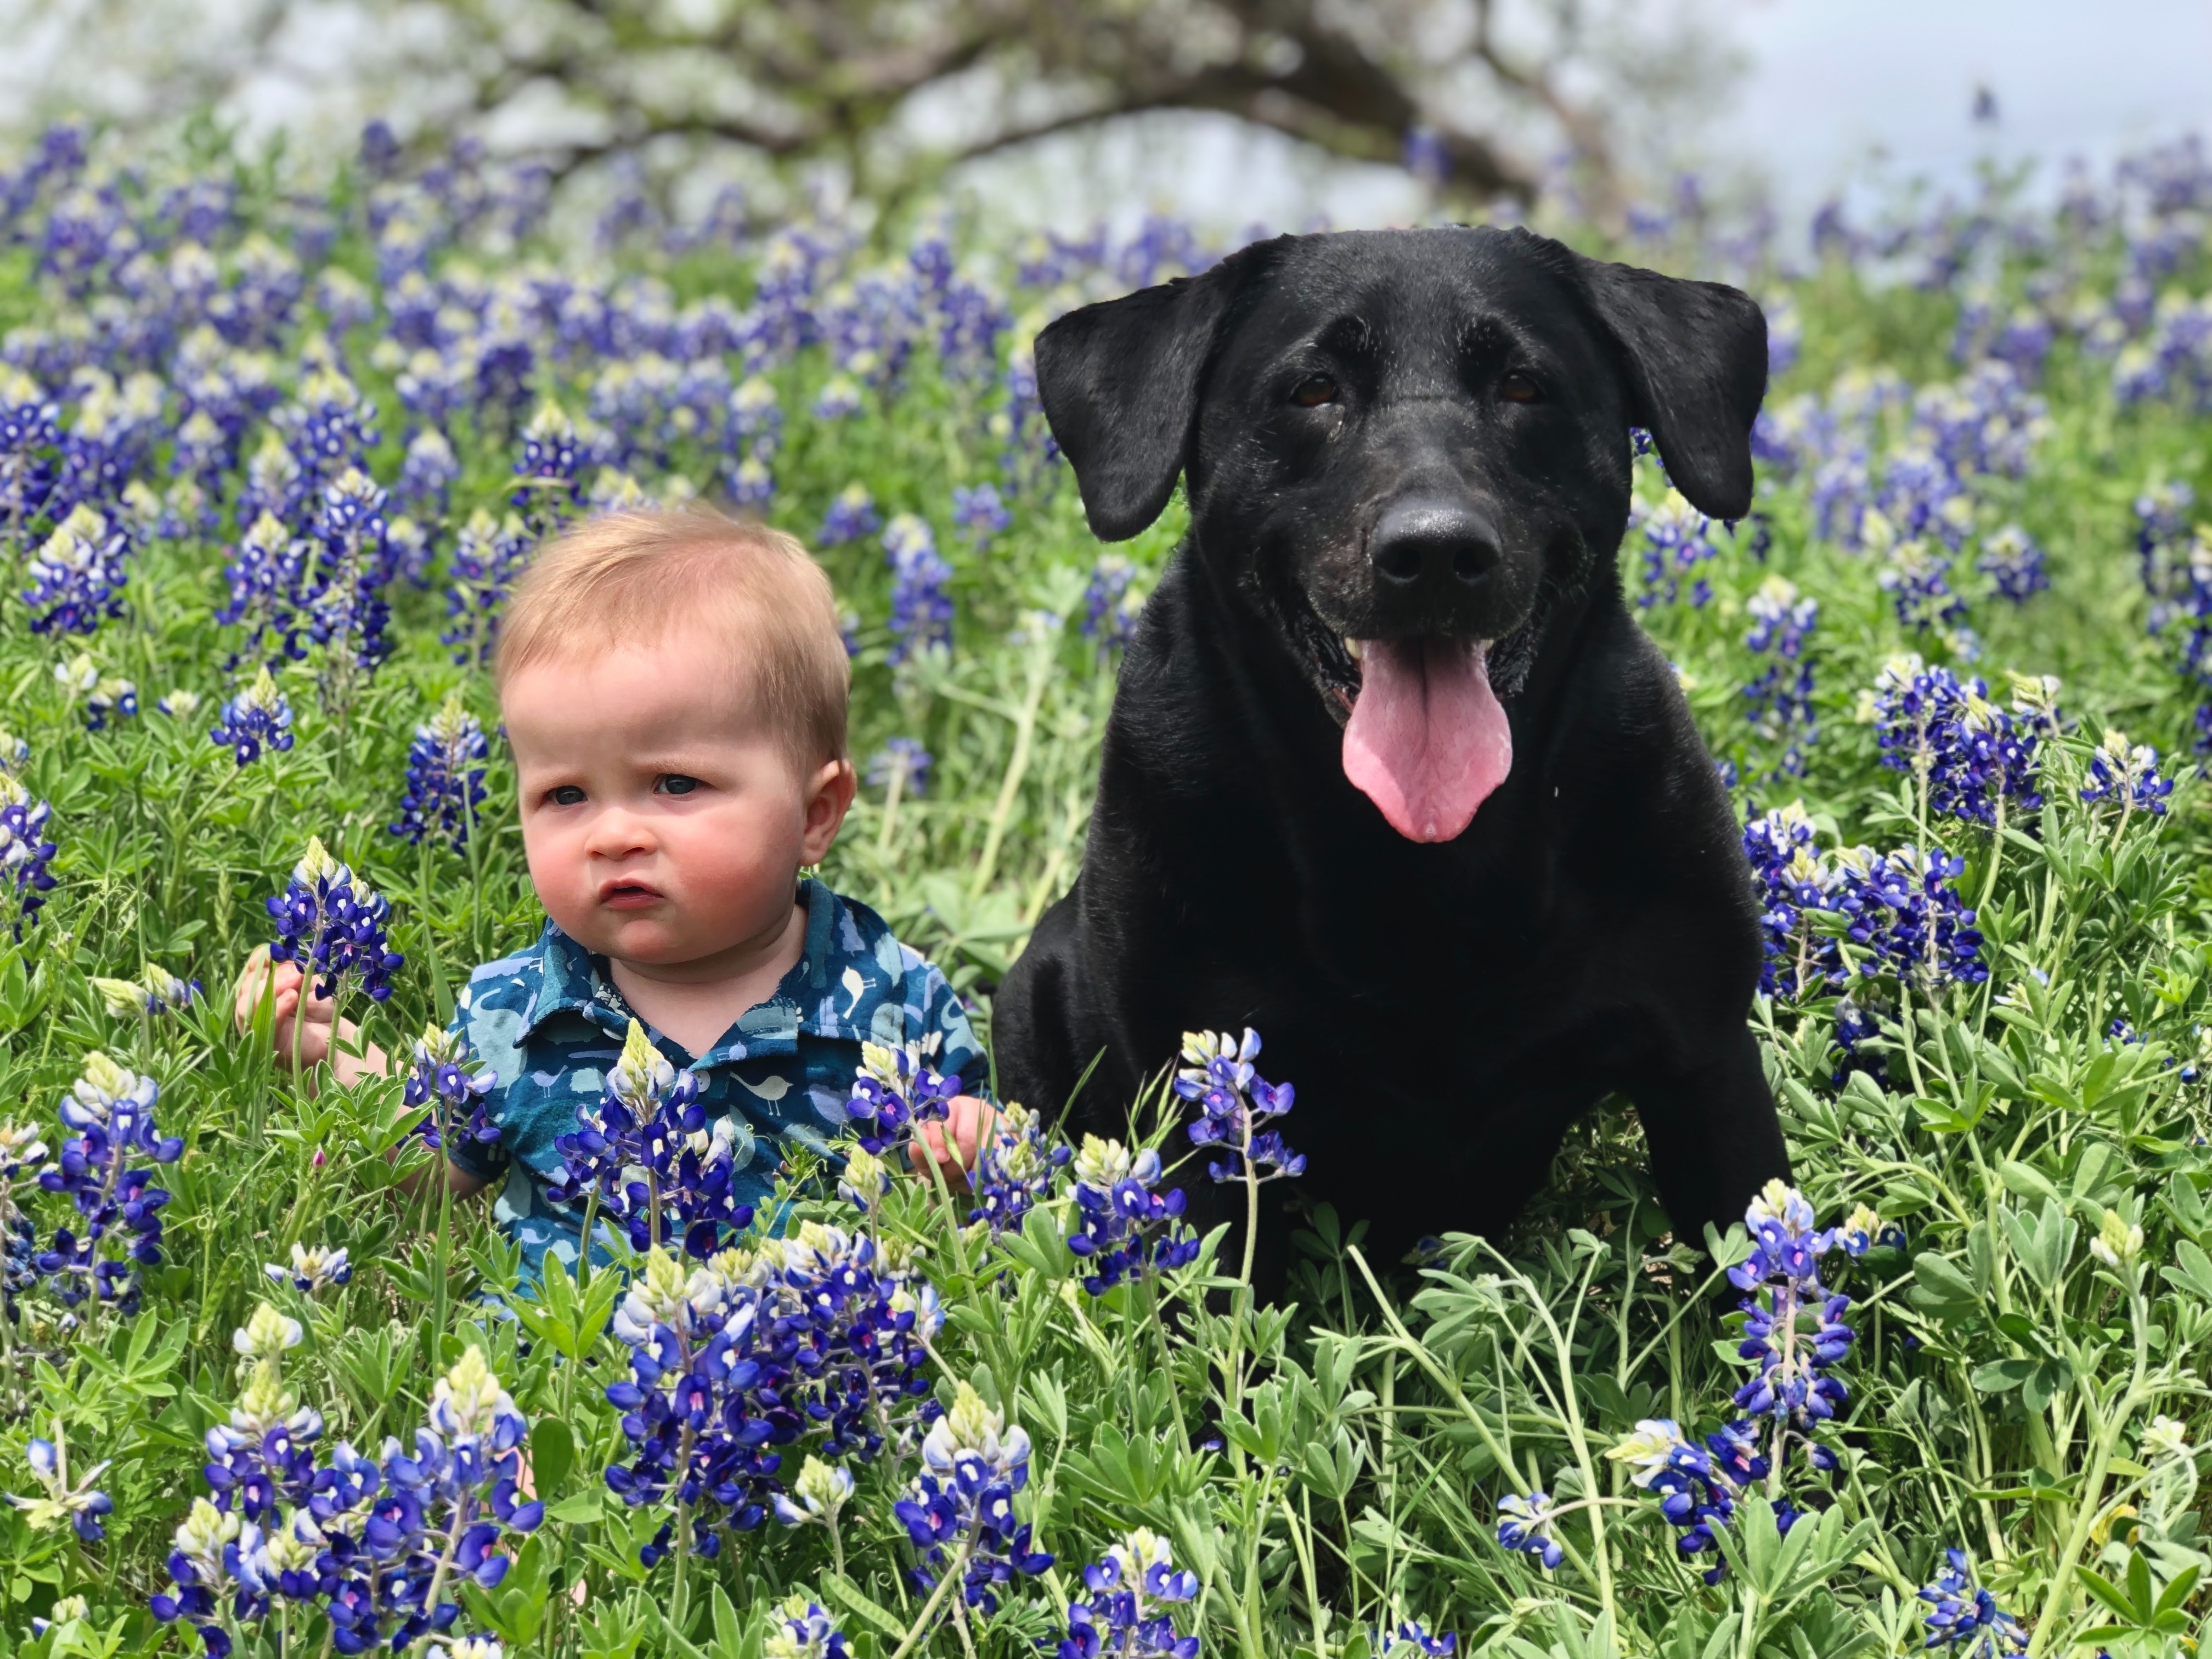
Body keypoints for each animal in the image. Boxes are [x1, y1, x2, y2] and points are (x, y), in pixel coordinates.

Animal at [995, 231, 1787, 1274]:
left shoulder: (1705, 1060)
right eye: (1311, 389)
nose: (1437, 551)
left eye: (1525, 385)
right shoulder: (1196, 1114)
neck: (1427, 869)